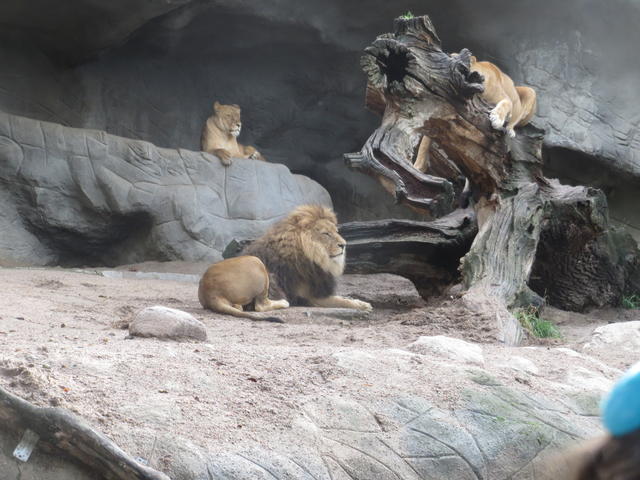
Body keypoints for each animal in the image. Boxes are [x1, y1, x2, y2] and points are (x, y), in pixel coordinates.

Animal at [242, 205, 372, 311]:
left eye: (336, 231)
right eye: (326, 233)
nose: (344, 245)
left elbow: (342, 297)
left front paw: (359, 301)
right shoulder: (308, 296)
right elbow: (340, 301)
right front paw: (363, 305)